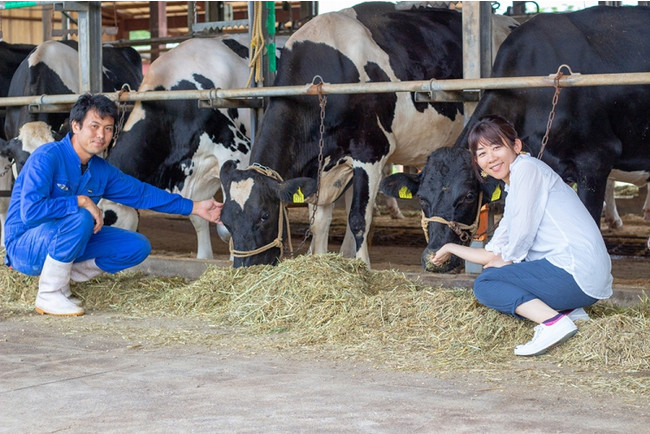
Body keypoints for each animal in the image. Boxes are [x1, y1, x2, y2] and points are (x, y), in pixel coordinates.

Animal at [218, 2, 516, 268]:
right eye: (226, 221)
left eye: (264, 215)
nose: (245, 267)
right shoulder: (325, 169)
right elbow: (319, 224)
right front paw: (319, 260)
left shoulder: (371, 152)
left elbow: (358, 219)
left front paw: (363, 267)